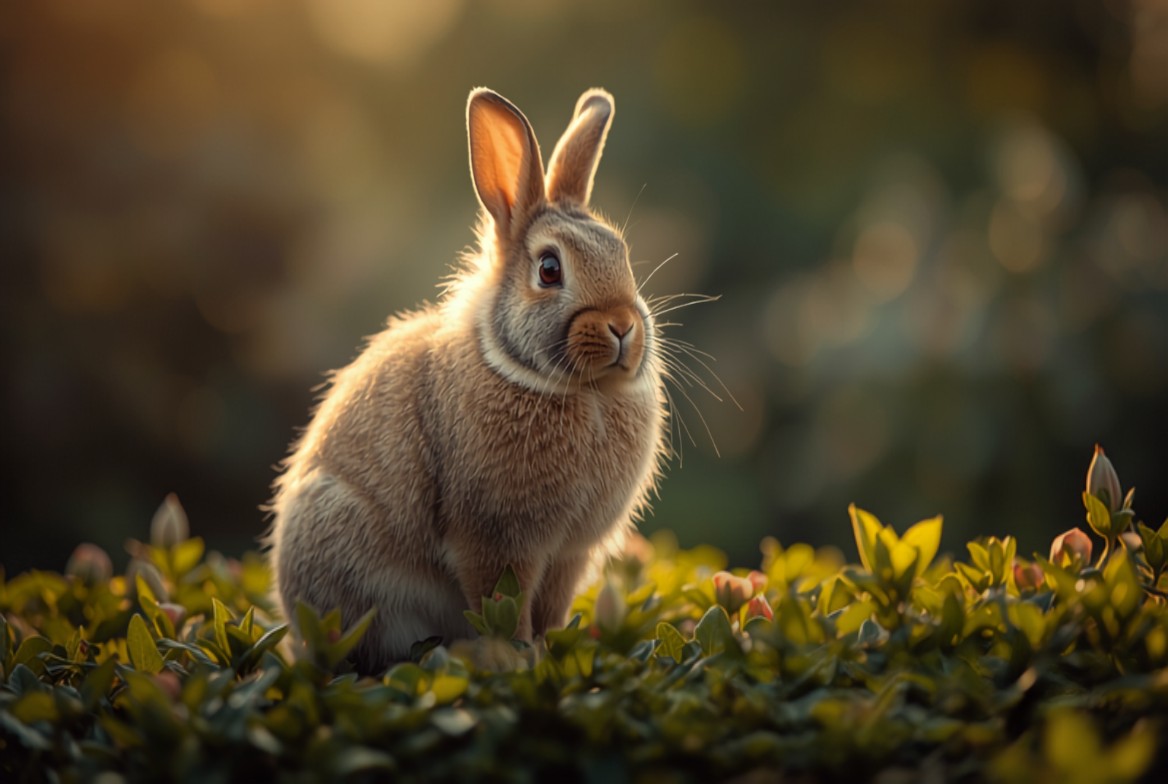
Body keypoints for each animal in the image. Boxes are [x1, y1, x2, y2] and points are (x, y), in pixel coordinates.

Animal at [267, 87, 667, 673]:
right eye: (549, 269)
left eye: (622, 253)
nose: (622, 326)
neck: (578, 391)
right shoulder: (494, 542)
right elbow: (504, 605)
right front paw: (520, 660)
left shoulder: (568, 555)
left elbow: (549, 611)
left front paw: (551, 652)